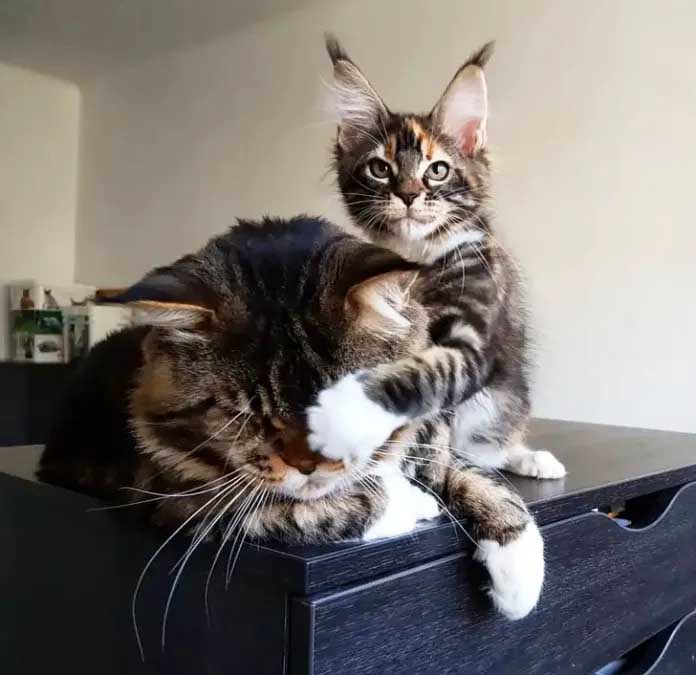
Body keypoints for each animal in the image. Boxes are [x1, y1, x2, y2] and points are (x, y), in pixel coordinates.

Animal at [42, 218, 544, 624]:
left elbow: (468, 473)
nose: (308, 465)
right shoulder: (169, 498)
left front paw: (519, 573)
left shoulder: (429, 433)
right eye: (243, 414)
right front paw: (411, 501)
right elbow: (311, 511)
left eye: (355, 407)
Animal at [308, 37, 568, 486]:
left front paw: (345, 415)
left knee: (494, 446)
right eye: (380, 168)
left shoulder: (472, 341)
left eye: (438, 170)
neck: (418, 261)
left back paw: (530, 458)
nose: (409, 194)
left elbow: (422, 376)